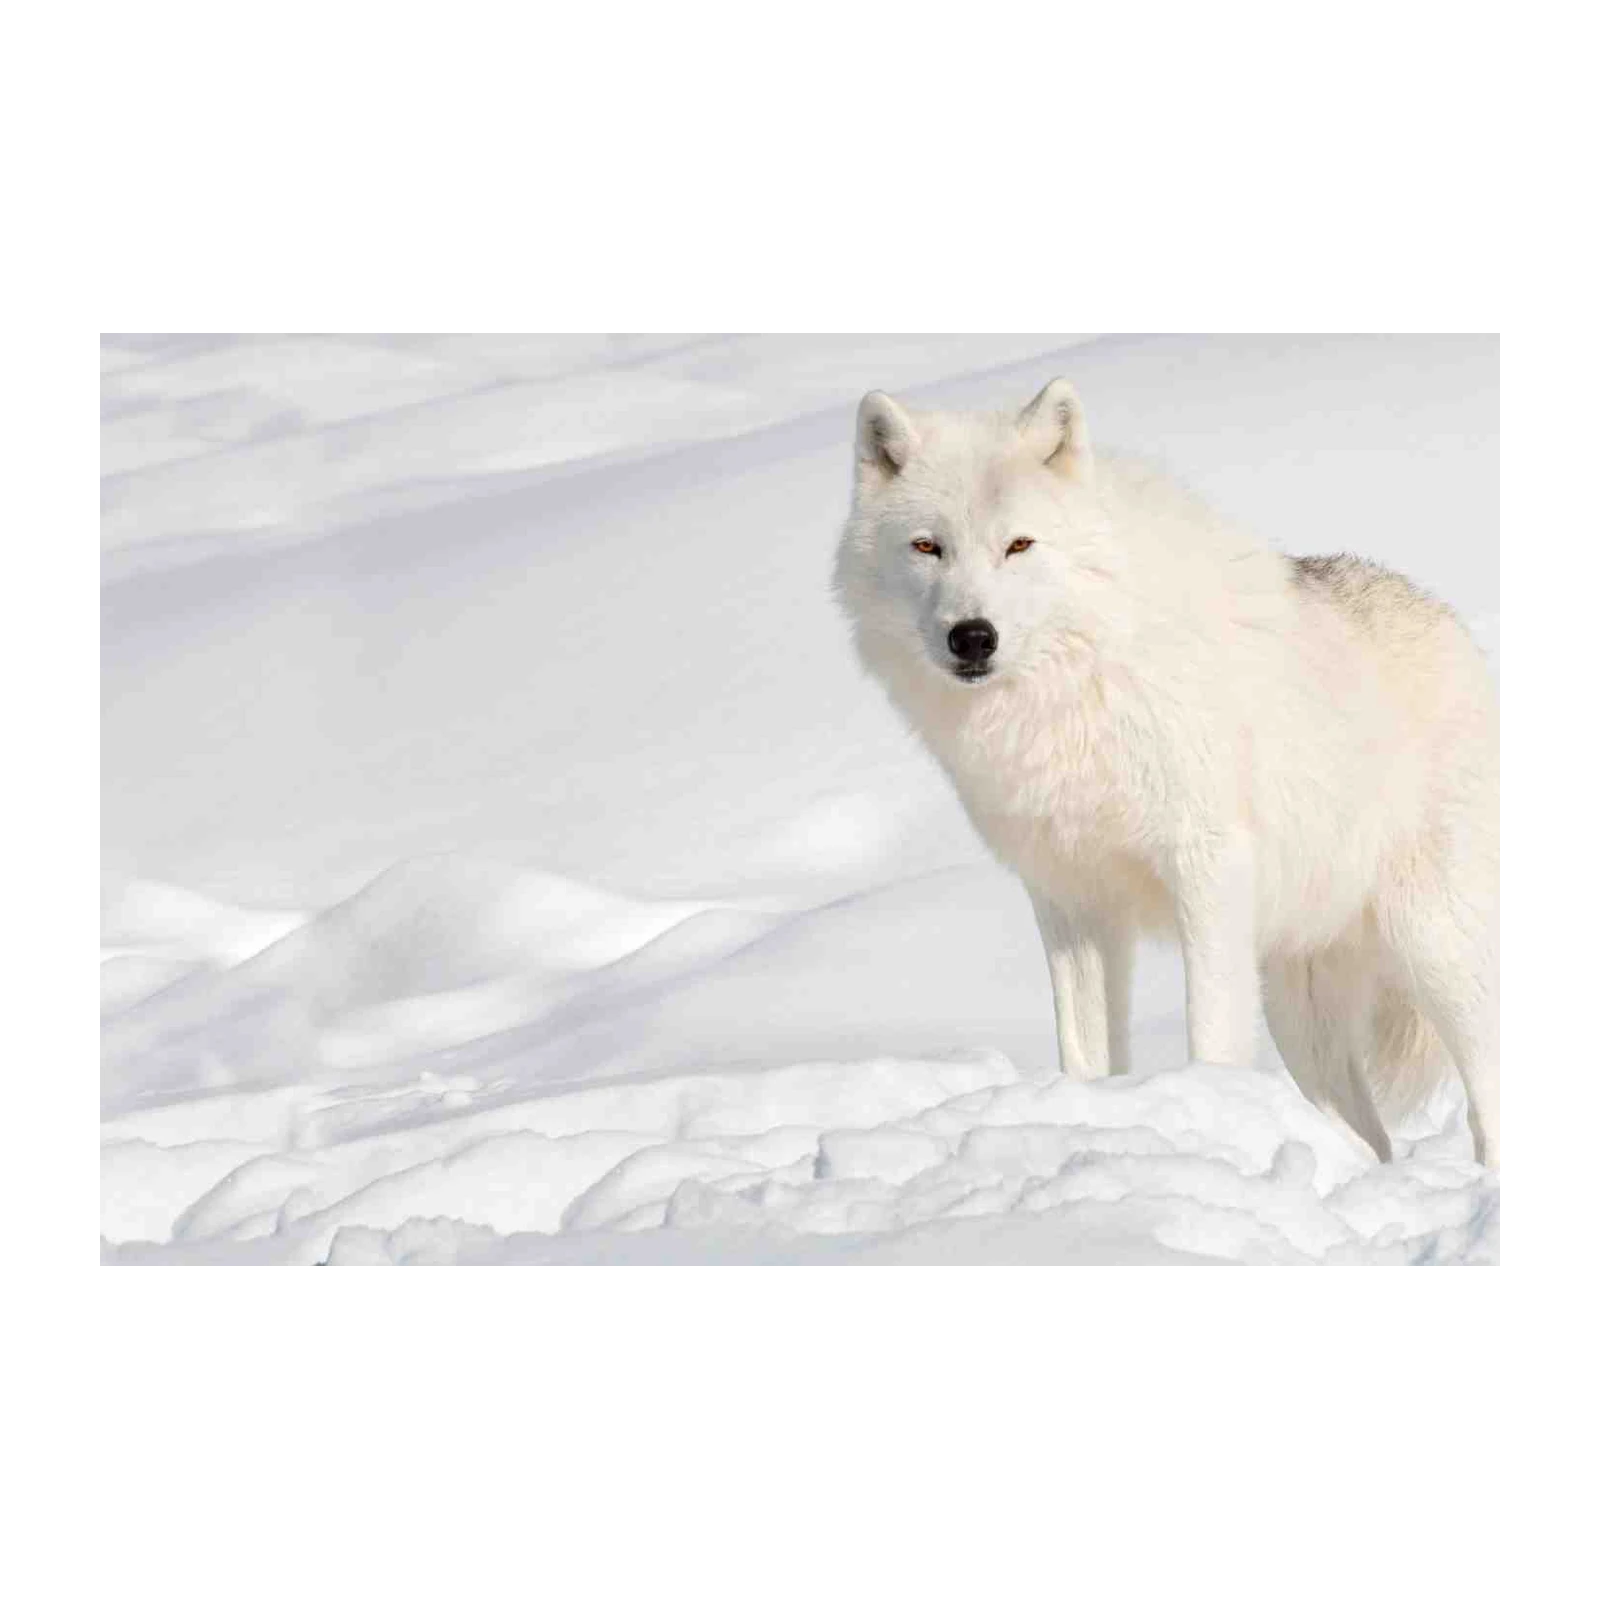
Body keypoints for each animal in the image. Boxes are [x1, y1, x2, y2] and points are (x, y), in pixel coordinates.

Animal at [833, 378, 1503, 1167]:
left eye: (1019, 544)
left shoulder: (1205, 867)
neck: (1071, 690)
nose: (972, 637)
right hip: (1299, 1004)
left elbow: (1209, 1032)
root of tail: (1457, 632)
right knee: (1369, 1140)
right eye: (927, 546)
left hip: (1436, 950)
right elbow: (1085, 1053)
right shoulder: (1070, 900)